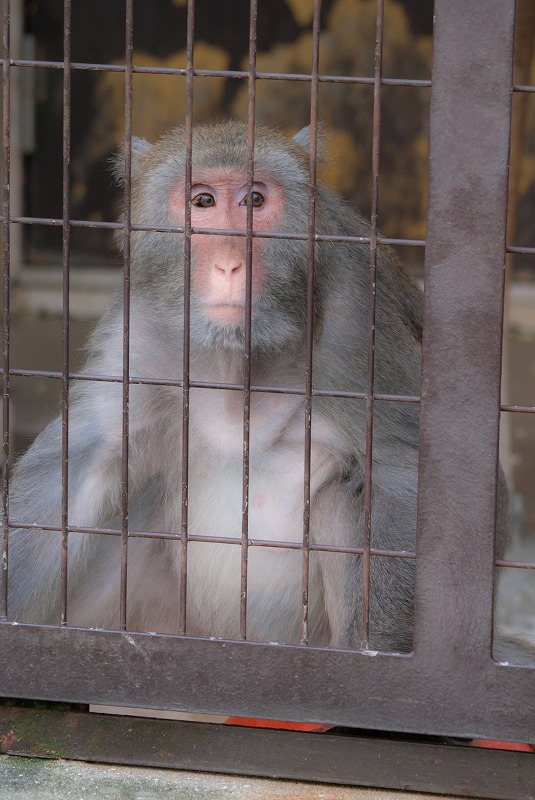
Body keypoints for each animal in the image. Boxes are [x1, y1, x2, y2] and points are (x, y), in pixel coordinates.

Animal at [3, 119, 506, 652]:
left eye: (255, 201)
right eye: (204, 201)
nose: (230, 263)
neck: (237, 359)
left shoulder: (358, 318)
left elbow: (403, 471)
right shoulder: (139, 328)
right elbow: (85, 461)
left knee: (345, 492)